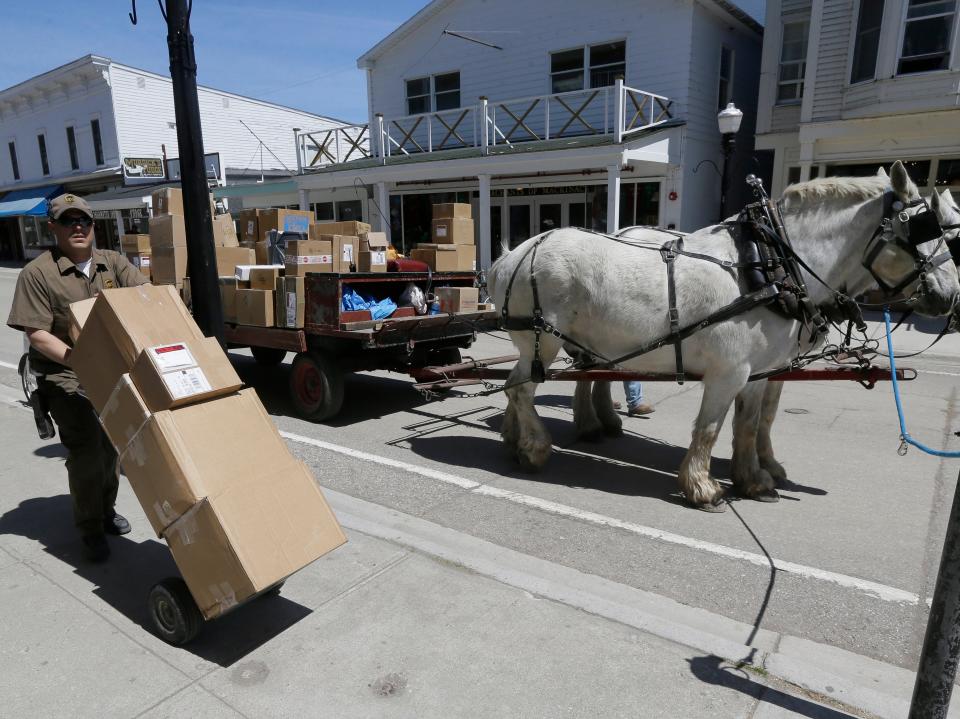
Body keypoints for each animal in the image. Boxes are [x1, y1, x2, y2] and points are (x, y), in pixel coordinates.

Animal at [492, 163, 956, 512]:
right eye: (923, 231)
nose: (950, 297)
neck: (770, 264)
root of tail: (514, 254)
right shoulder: (728, 372)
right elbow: (710, 427)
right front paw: (703, 487)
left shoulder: (761, 372)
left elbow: (752, 424)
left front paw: (755, 478)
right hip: (543, 340)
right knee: (523, 388)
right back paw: (535, 448)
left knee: (518, 385)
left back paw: (518, 439)